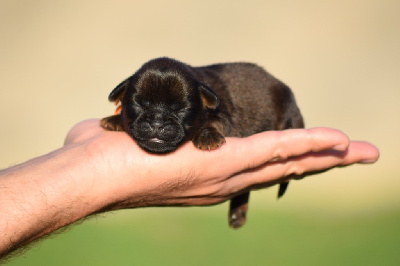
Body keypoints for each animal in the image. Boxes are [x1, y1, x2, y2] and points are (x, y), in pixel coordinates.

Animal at [101, 56, 304, 229]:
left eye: (181, 109)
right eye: (140, 104)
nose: (157, 123)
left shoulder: (224, 117)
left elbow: (212, 122)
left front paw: (207, 136)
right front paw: (115, 119)